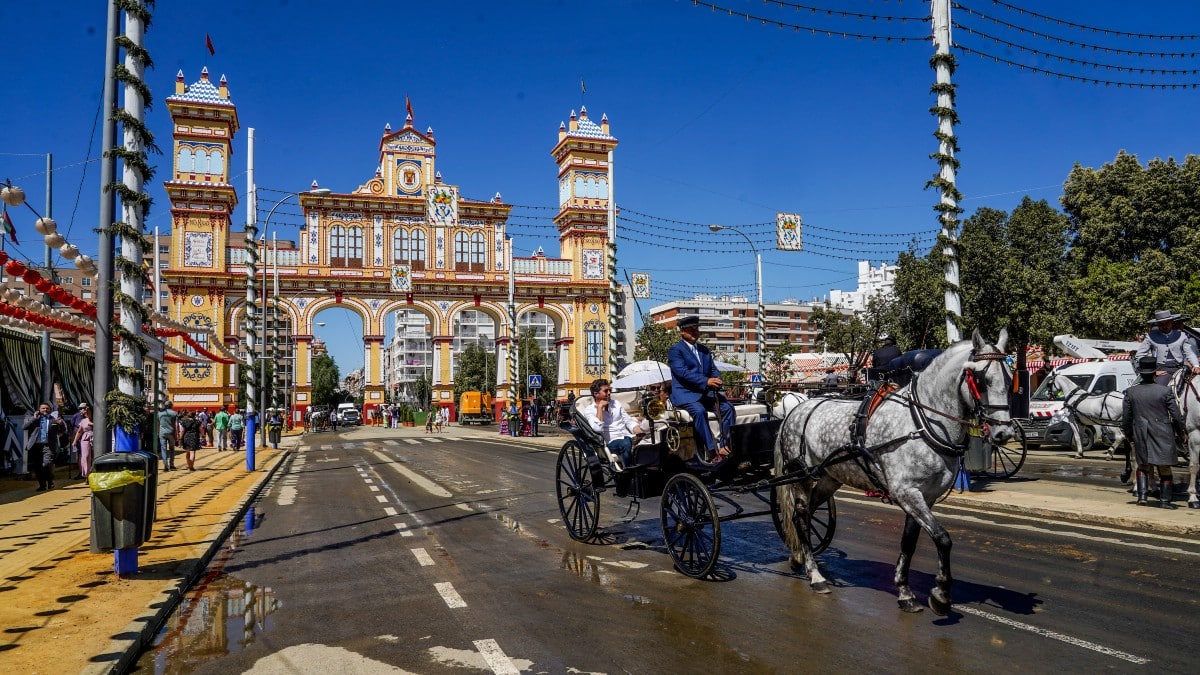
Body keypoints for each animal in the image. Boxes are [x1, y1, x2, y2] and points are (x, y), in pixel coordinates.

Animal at [772, 329, 1017, 614]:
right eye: (981, 379)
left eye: (1010, 379)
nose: (1003, 433)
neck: (921, 423)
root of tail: (795, 409)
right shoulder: (906, 492)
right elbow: (943, 538)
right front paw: (941, 594)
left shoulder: (925, 496)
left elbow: (909, 542)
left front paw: (905, 591)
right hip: (801, 478)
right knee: (800, 516)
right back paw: (815, 575)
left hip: (828, 479)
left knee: (805, 515)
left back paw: (798, 557)